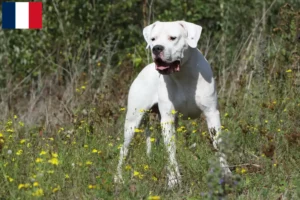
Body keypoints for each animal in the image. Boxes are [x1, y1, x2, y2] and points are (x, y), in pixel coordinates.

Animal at [115, 21, 232, 188]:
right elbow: (170, 151)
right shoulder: (168, 119)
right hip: (132, 122)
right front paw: (173, 181)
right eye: (153, 39)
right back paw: (118, 178)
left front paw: (226, 175)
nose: (157, 48)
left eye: (173, 38)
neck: (183, 74)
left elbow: (218, 145)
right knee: (124, 150)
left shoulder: (212, 114)